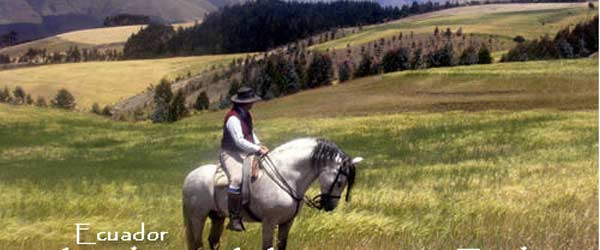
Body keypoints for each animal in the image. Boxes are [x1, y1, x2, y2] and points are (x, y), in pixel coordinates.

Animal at [180, 138, 364, 250]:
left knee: (213, 241)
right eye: (340, 182)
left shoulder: (286, 223)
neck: (287, 177)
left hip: (217, 217)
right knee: (198, 244)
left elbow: (281, 245)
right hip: (197, 218)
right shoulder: (269, 222)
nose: (329, 206)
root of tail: (189, 177)